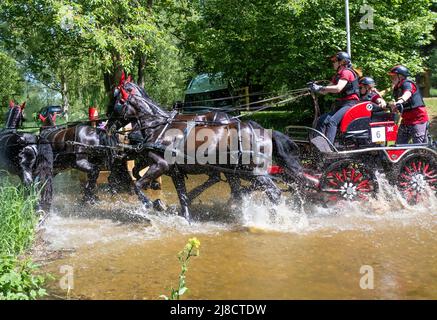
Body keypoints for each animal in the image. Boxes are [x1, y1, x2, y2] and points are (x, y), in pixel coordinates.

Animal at [105, 75, 304, 220]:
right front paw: (183, 215)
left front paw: (153, 204)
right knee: (238, 192)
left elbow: (137, 185)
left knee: (273, 193)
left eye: (116, 101)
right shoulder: (175, 171)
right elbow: (182, 196)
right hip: (234, 171)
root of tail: (263, 131)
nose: (106, 125)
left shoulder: (161, 164)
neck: (158, 126)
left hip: (253, 172)